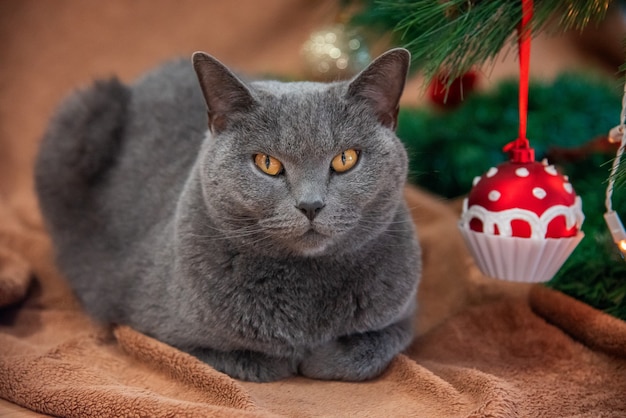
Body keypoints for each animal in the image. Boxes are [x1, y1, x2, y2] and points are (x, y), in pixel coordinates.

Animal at [34, 48, 420, 382]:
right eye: (267, 163)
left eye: (345, 159)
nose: (310, 205)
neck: (307, 289)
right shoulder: (156, 328)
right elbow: (244, 357)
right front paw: (289, 358)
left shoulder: (404, 314)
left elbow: (375, 346)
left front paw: (320, 357)